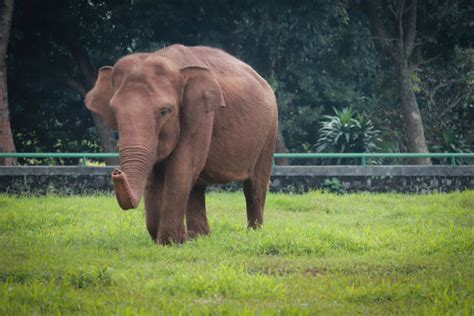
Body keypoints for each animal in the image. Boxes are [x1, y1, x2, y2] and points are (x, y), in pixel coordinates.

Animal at [84, 44, 278, 244]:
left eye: (165, 111)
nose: (116, 172)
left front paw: (170, 242)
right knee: (197, 186)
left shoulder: (202, 116)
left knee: (255, 184)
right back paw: (199, 237)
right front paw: (168, 239)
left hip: (270, 130)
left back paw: (254, 233)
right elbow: (154, 175)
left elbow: (182, 167)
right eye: (114, 111)